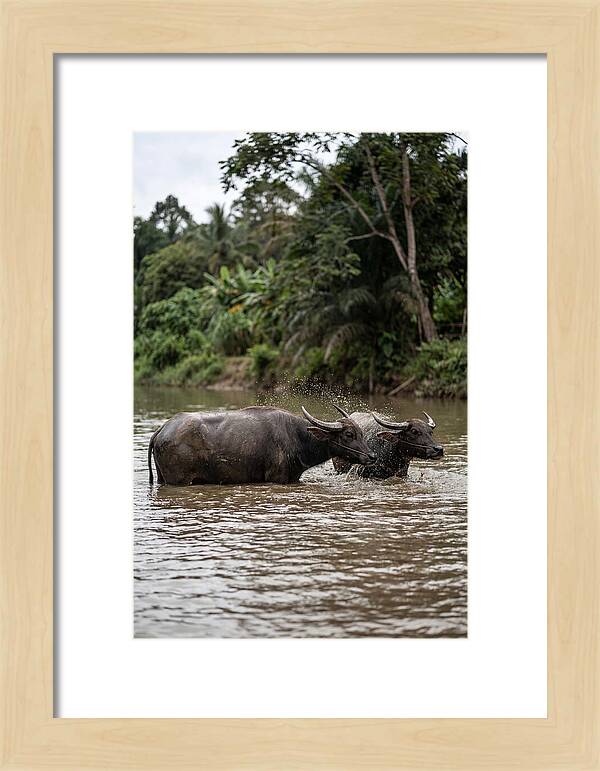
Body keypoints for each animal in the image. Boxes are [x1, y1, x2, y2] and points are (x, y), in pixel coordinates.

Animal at [148, 405, 377, 486]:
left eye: (362, 433)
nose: (372, 456)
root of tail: (162, 429)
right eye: (349, 434)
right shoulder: (277, 477)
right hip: (179, 480)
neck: (297, 437)